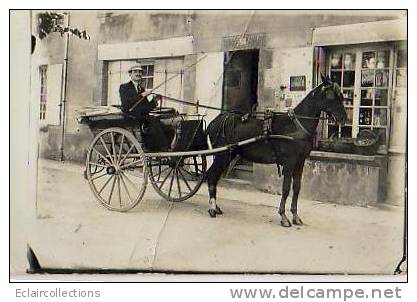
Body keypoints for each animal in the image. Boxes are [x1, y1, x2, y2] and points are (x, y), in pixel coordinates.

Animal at [204, 75, 344, 226]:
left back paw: (216, 207)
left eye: (341, 95)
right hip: (222, 155)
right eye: (331, 95)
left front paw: (295, 216)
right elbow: (286, 188)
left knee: (214, 176)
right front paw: (283, 216)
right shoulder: (289, 163)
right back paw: (212, 208)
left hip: (228, 155)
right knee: (212, 175)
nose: (343, 118)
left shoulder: (300, 163)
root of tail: (215, 121)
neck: (296, 126)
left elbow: (297, 188)